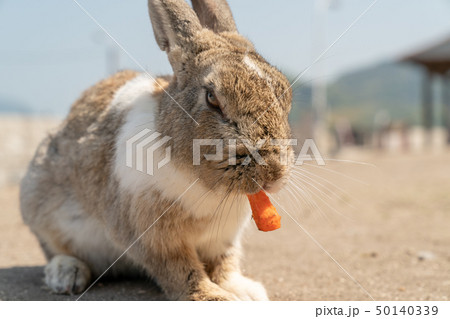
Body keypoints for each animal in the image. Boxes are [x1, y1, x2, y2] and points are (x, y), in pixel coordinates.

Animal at [20, 0, 296, 302]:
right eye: (212, 98)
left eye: (286, 93)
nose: (273, 173)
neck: (204, 183)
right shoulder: (153, 236)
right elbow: (180, 269)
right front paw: (214, 298)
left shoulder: (223, 237)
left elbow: (224, 263)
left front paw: (246, 292)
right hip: (38, 203)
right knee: (53, 248)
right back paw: (66, 274)